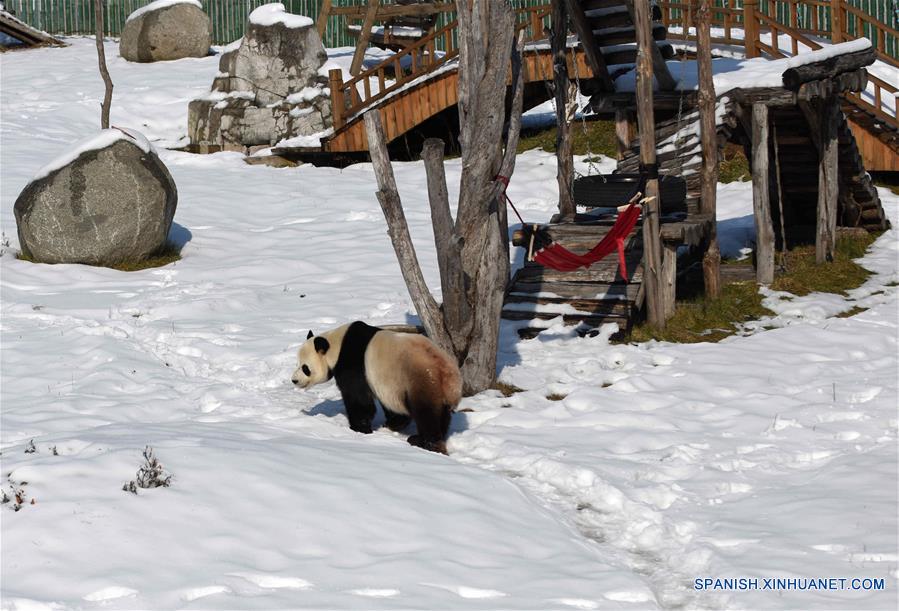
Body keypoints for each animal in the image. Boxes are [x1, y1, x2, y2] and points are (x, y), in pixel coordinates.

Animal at [292, 321, 462, 454]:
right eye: (297, 364)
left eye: (305, 368)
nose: (294, 380)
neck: (336, 345)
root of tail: (448, 375)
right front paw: (391, 424)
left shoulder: (354, 363)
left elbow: (358, 399)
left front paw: (359, 428)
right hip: (438, 390)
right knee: (442, 416)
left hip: (421, 380)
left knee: (426, 414)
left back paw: (426, 443)